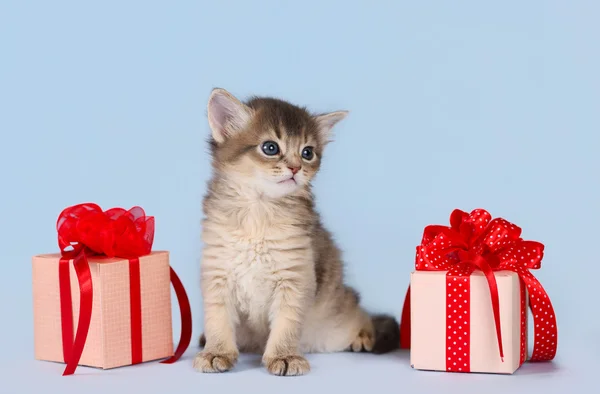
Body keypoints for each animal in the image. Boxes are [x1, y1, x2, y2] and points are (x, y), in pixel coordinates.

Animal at [193, 88, 398, 376]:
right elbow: (217, 319)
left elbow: (286, 323)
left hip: (336, 319)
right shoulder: (217, 273)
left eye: (308, 152)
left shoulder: (296, 277)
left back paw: (364, 335)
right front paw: (216, 351)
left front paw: (285, 356)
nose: (295, 168)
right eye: (270, 148)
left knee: (360, 312)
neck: (259, 212)